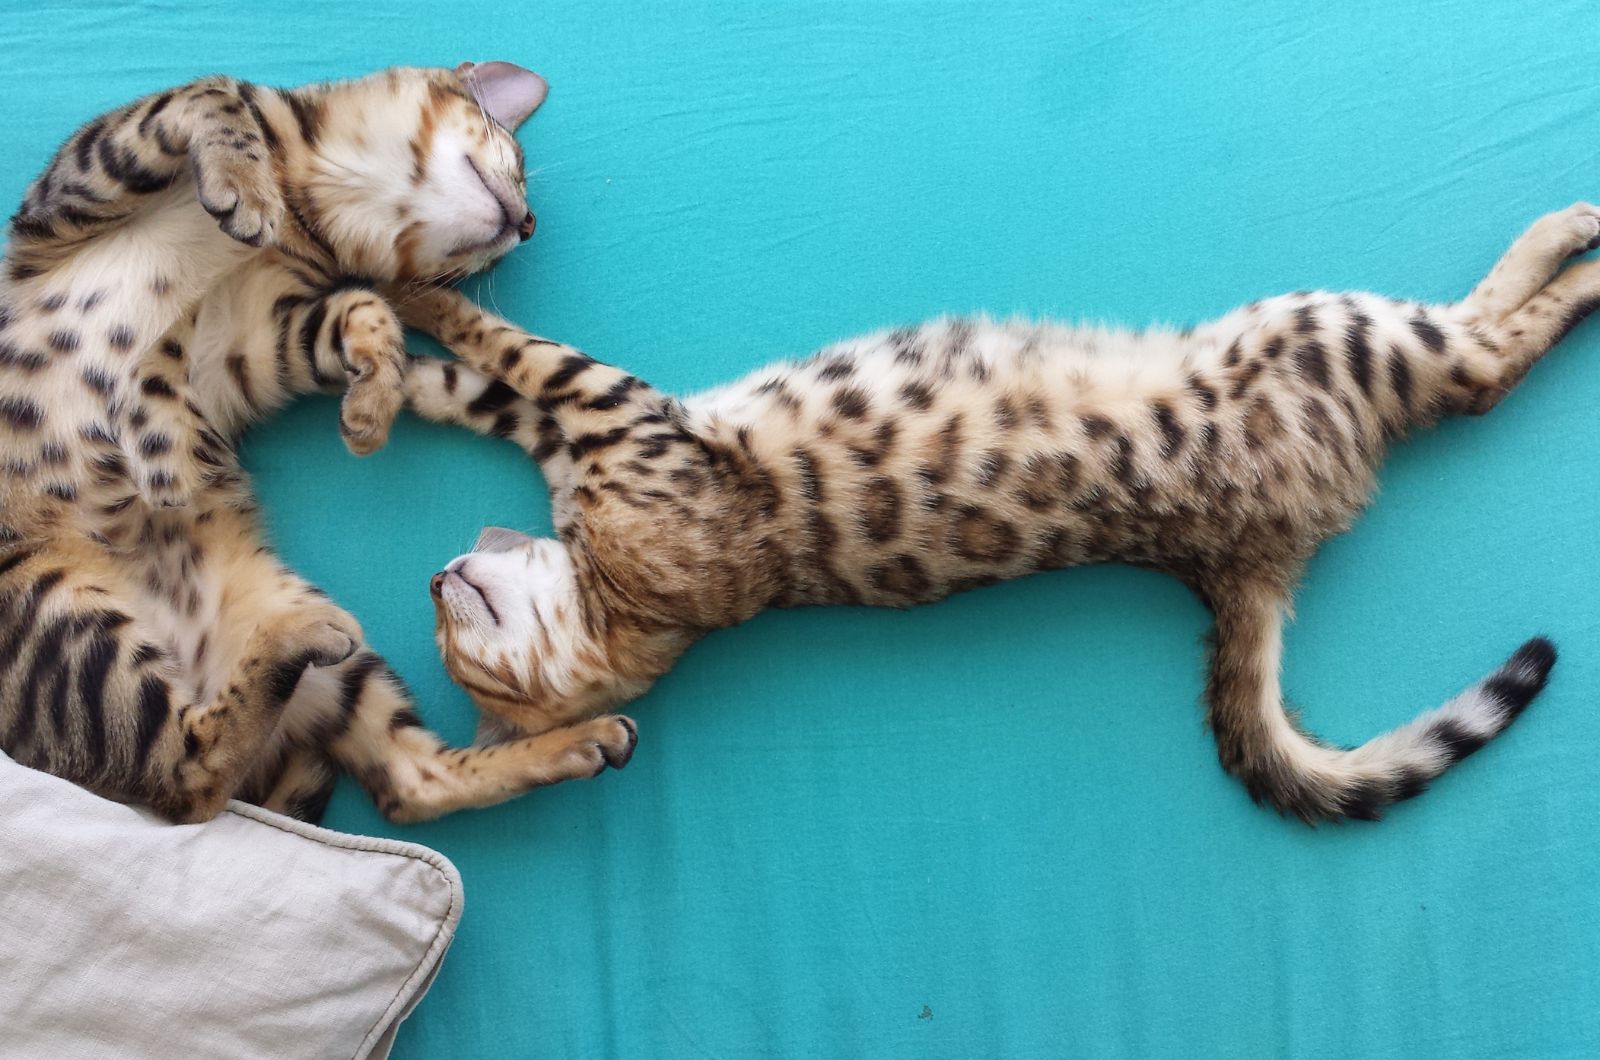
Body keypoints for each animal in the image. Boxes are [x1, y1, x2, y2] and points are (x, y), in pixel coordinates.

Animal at [0, 64, 636, 832]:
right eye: (516, 162)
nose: (528, 223)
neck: (315, 200)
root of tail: (192, 661)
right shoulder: (68, 195)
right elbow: (212, 93)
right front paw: (242, 187)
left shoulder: (250, 340)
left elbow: (364, 310)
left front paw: (371, 404)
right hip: (55, 610)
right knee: (189, 786)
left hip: (325, 664)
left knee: (373, 785)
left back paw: (577, 740)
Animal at [390, 204, 1600, 819]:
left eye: (455, 622)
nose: (434, 575)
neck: (617, 600)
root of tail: (1242, 556)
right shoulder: (619, 417)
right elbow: (506, 349)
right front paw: (410, 301)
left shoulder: (595, 422)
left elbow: (485, 376)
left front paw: (384, 352)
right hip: (1322, 328)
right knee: (1481, 360)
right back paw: (1579, 249)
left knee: (1481, 351)